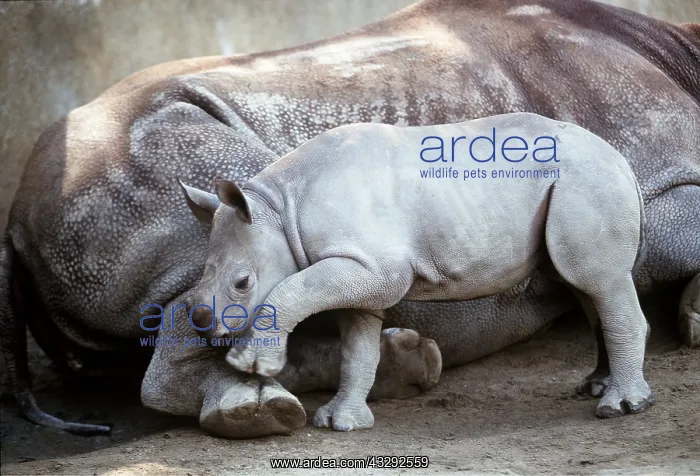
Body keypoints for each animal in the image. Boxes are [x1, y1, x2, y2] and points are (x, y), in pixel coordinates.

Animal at [184, 113, 652, 430]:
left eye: (243, 284)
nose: (204, 324)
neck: (280, 210)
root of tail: (623, 160)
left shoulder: (377, 269)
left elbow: (292, 290)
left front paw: (249, 363)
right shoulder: (362, 276)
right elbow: (357, 349)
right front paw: (341, 422)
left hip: (584, 180)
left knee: (599, 282)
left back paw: (620, 408)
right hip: (575, 183)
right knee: (582, 286)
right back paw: (598, 386)